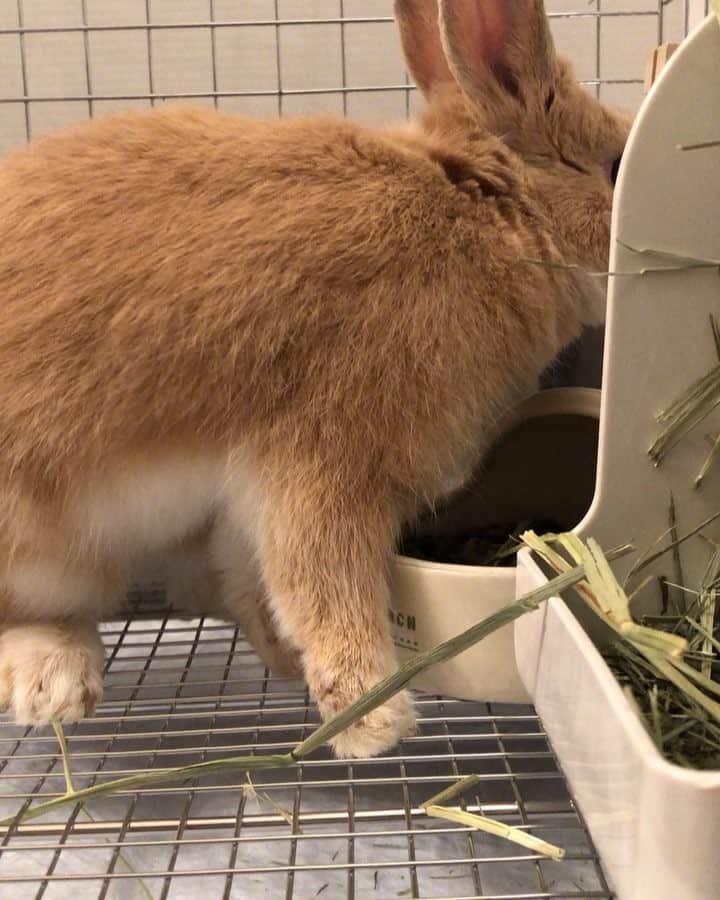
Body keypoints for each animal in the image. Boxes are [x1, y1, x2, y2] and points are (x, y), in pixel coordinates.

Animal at [0, 0, 630, 758]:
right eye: (618, 164)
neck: (490, 219)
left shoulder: (249, 499)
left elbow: (257, 577)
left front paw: (287, 662)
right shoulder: (330, 456)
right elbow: (326, 585)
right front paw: (375, 721)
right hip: (50, 548)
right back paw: (53, 680)